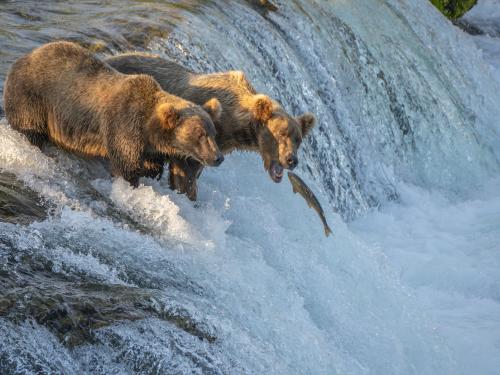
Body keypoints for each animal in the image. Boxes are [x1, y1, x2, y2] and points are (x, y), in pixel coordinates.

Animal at [4, 41, 225, 187]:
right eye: (200, 135)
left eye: (213, 134)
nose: (218, 157)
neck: (149, 129)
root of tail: (23, 58)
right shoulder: (123, 126)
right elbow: (126, 167)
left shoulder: (149, 147)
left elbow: (151, 166)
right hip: (32, 97)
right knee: (30, 129)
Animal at [106, 53, 316, 200]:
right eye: (281, 133)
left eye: (298, 140)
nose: (291, 160)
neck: (232, 125)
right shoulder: (191, 137)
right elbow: (185, 173)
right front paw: (188, 195)